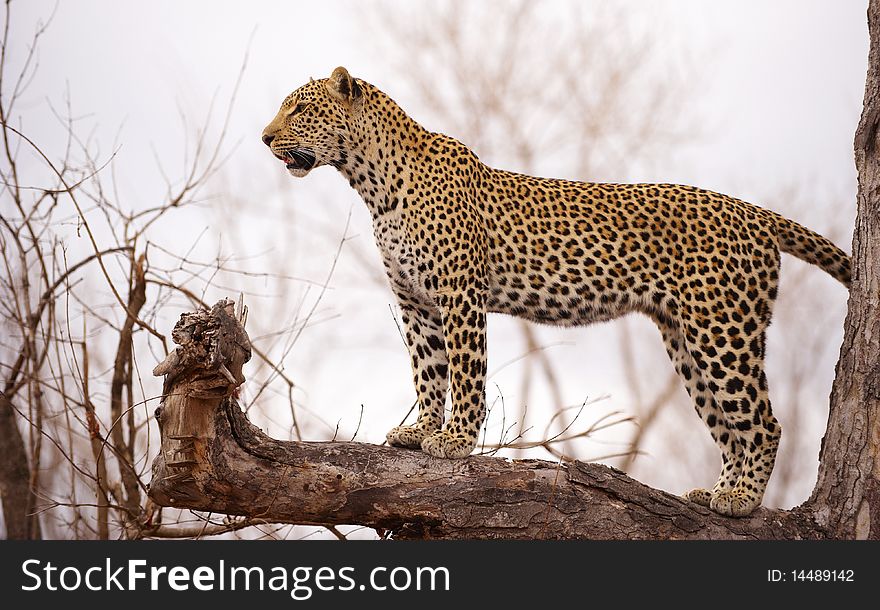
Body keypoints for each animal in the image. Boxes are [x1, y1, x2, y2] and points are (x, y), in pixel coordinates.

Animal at [262, 65, 852, 512]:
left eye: (299, 109)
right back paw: (718, 492)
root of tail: (755, 212)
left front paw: (455, 441)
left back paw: (744, 500)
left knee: (764, 422)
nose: (265, 137)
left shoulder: (459, 295)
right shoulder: (415, 303)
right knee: (729, 426)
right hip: (686, 339)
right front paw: (419, 430)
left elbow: (465, 373)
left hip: (723, 329)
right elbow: (427, 373)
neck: (371, 182)